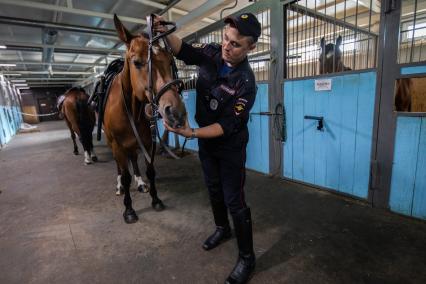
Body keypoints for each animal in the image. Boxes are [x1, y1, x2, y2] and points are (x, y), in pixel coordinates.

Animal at [103, 15, 186, 224]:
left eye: (170, 61)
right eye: (137, 62)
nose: (176, 112)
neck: (131, 110)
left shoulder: (148, 142)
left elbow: (150, 170)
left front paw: (155, 199)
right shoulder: (117, 145)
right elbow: (125, 175)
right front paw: (129, 210)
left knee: (133, 159)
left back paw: (140, 183)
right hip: (113, 143)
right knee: (119, 166)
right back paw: (119, 186)